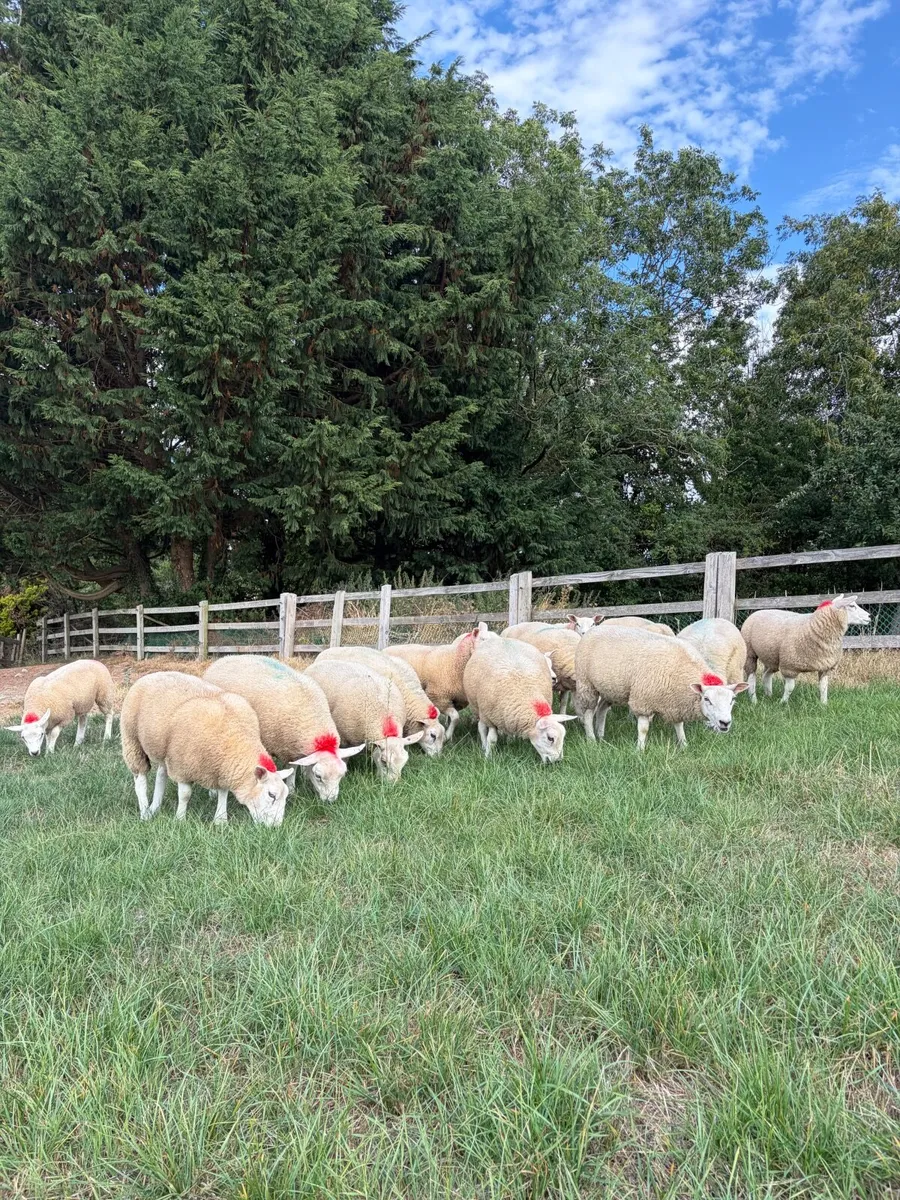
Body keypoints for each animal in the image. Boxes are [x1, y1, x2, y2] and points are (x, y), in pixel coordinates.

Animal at [120, 671, 291, 825]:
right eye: (271, 795)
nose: (276, 827)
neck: (235, 737)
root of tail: (152, 674)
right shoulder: (183, 767)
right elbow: (185, 795)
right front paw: (180, 819)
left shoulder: (223, 769)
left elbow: (223, 793)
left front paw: (220, 820)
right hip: (132, 741)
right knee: (140, 780)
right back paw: (145, 812)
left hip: (164, 751)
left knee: (161, 775)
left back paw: (155, 807)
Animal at [203, 655, 364, 802]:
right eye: (318, 776)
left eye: (342, 774)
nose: (331, 800)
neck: (313, 717)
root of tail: (224, 658)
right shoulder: (286, 748)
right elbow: (292, 770)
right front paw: (292, 790)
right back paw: (213, 793)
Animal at [462, 633, 577, 762]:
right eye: (550, 738)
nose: (557, 761)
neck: (526, 693)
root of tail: (502, 639)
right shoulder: (490, 717)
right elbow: (491, 739)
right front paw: (488, 757)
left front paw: (510, 741)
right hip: (477, 707)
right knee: (481, 727)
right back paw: (483, 745)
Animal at [574, 626, 747, 750]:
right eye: (707, 699)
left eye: (732, 700)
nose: (725, 723)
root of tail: (594, 629)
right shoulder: (643, 701)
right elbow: (643, 729)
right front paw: (640, 749)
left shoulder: (675, 703)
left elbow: (679, 726)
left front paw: (684, 745)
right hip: (586, 684)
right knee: (588, 713)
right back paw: (591, 739)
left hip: (610, 688)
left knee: (602, 709)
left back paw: (601, 735)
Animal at [741, 595, 870, 705]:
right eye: (851, 606)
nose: (869, 616)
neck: (813, 626)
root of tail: (758, 611)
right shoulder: (789, 666)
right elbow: (790, 688)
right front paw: (783, 703)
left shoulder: (825, 666)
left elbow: (824, 687)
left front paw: (824, 704)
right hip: (750, 653)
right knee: (751, 676)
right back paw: (754, 699)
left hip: (772, 657)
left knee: (766, 675)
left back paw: (769, 695)